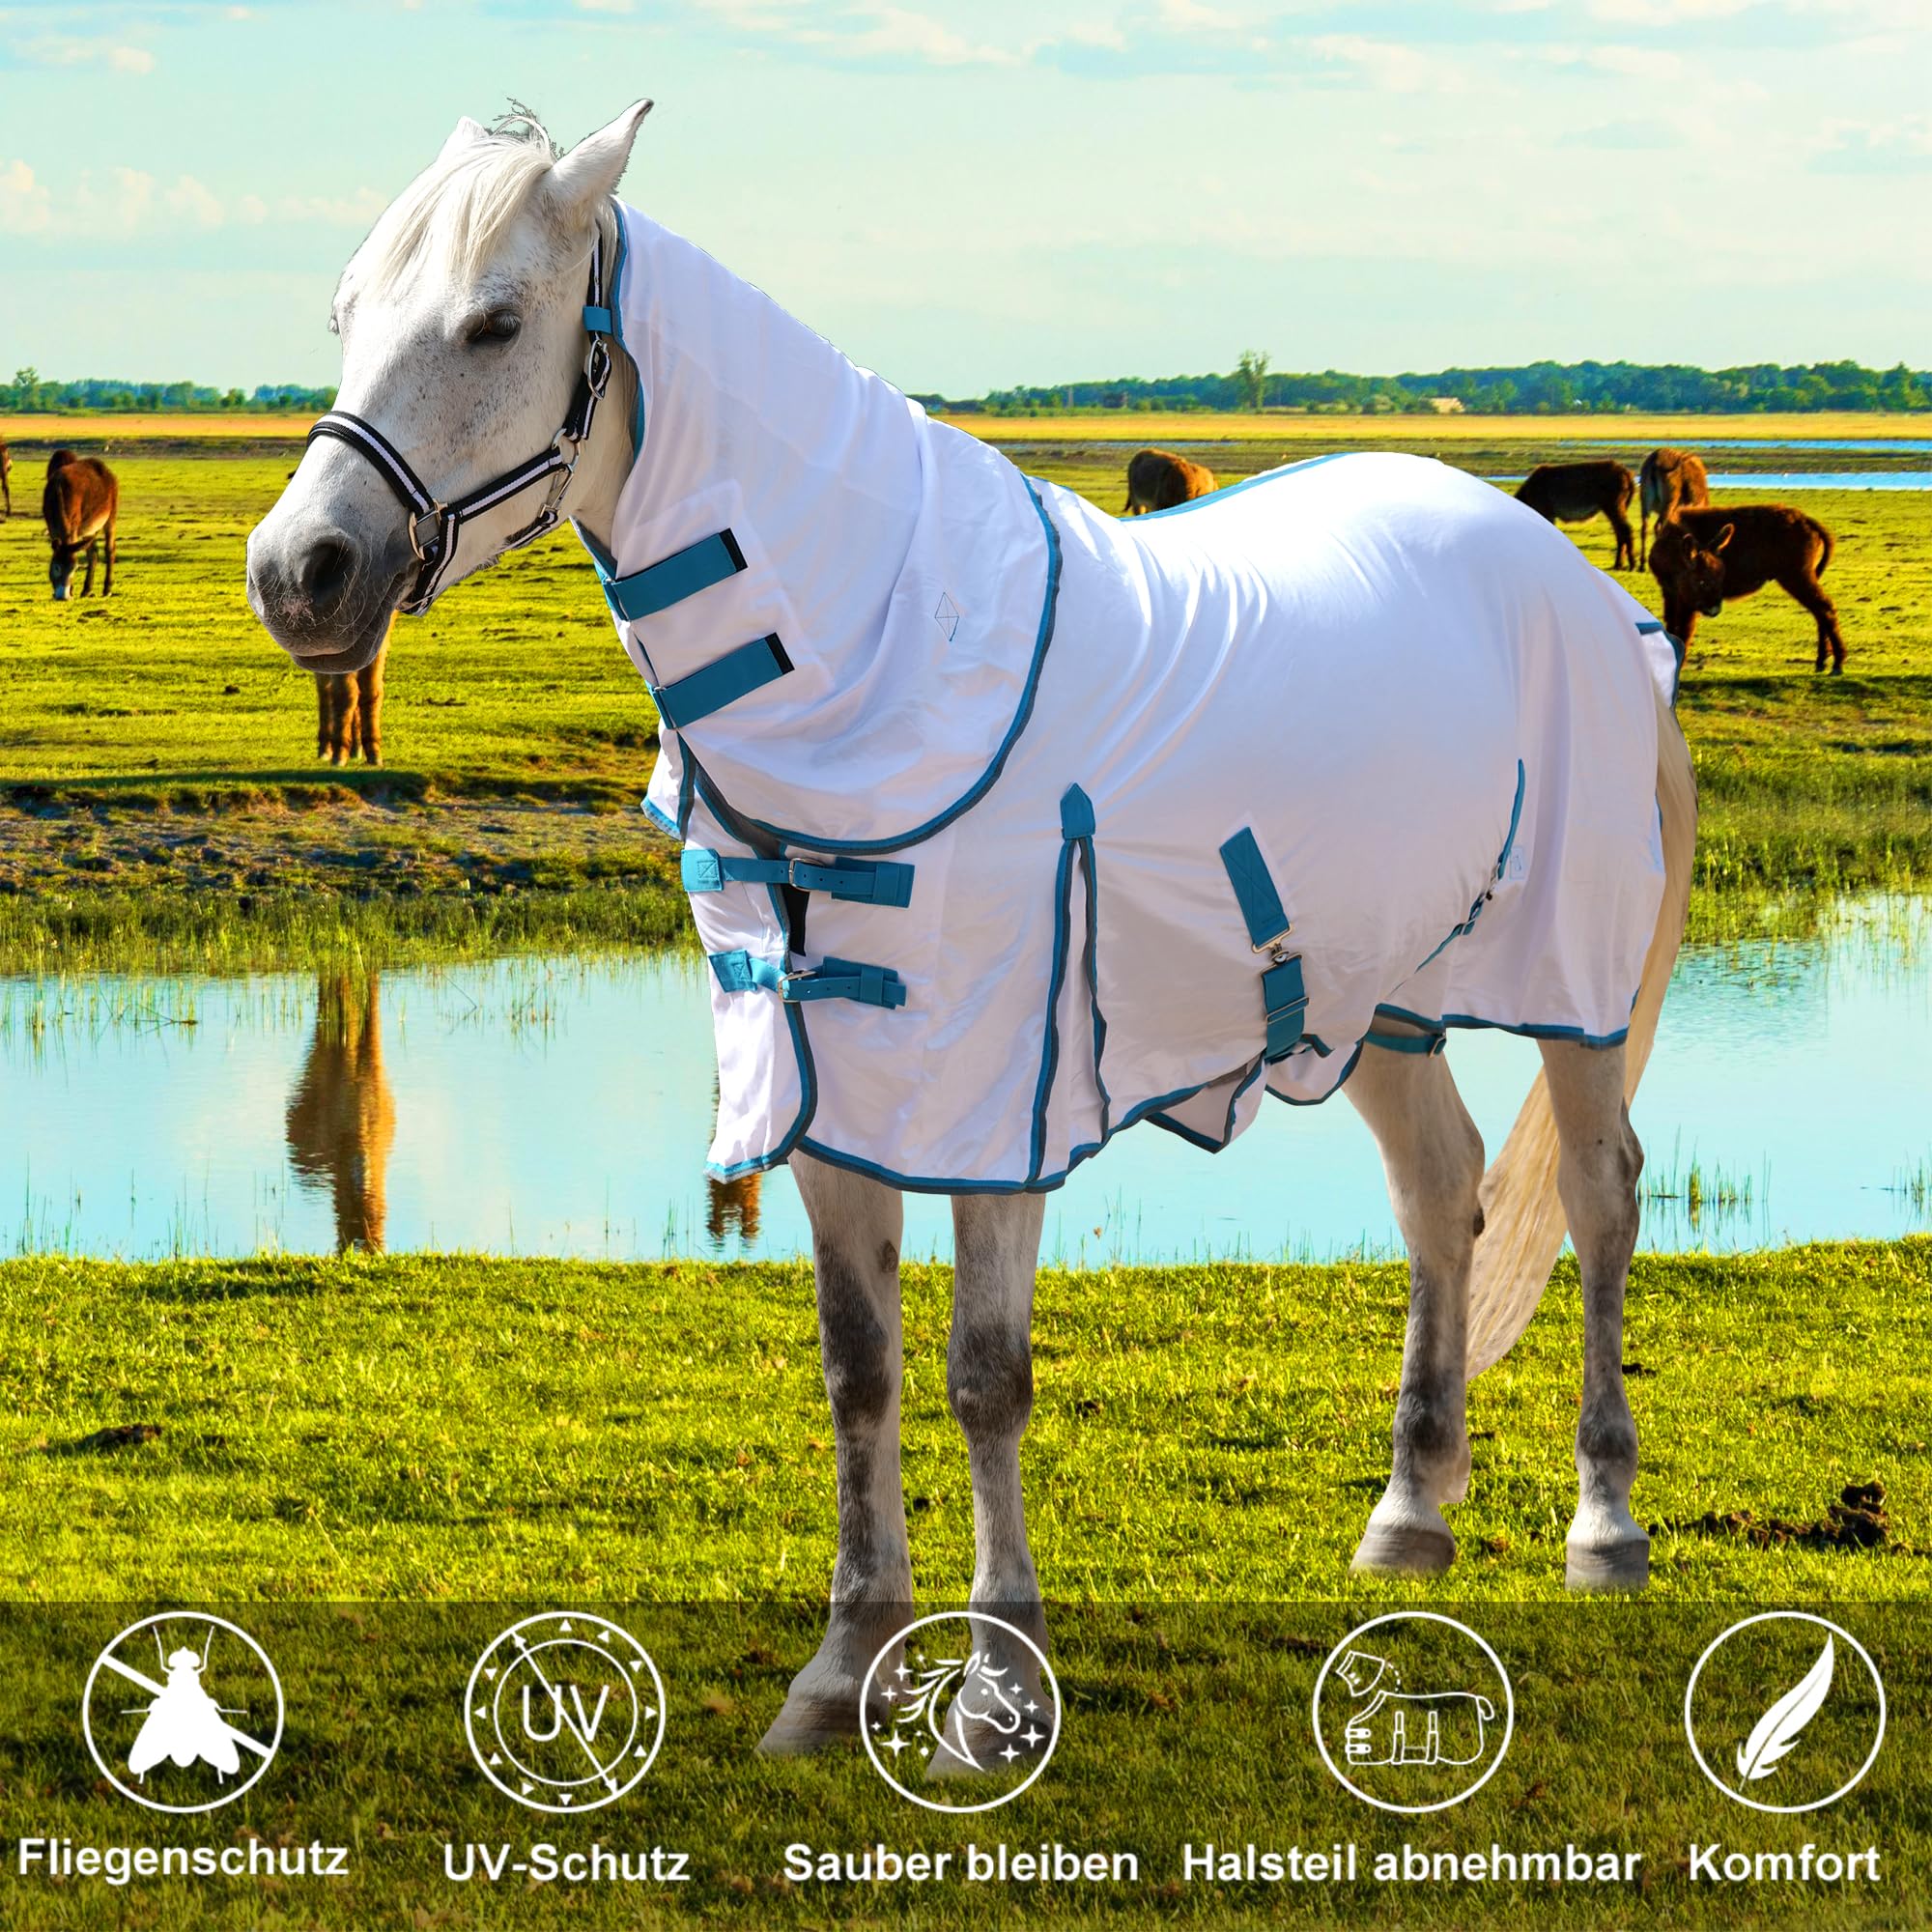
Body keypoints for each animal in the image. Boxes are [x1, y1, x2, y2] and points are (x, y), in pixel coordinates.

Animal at [43, 449, 118, 598]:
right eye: (56, 567)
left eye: (74, 569)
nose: (63, 596)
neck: (59, 491)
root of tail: (106, 471)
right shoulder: (52, 527)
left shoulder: (74, 528)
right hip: (90, 529)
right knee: (93, 553)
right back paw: (86, 589)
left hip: (110, 517)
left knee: (109, 549)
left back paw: (107, 589)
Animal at [1513, 460, 1637, 570]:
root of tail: (1627, 473)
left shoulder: (1546, 513)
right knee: (1620, 532)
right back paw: (1619, 565)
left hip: (1613, 506)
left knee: (1625, 530)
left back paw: (1631, 565)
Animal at [1637, 446, 1708, 570]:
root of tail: (1655, 460)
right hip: (1669, 503)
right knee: (1658, 526)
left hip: (1645, 503)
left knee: (1644, 528)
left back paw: (1642, 565)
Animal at [1649, 503, 1844, 672]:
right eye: (1701, 581)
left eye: (1720, 576)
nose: (1714, 609)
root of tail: (1805, 520)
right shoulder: (1670, 593)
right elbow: (1671, 627)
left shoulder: (1687, 602)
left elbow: (1683, 631)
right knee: (1820, 612)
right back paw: (1821, 662)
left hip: (1797, 578)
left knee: (1824, 608)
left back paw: (1837, 664)